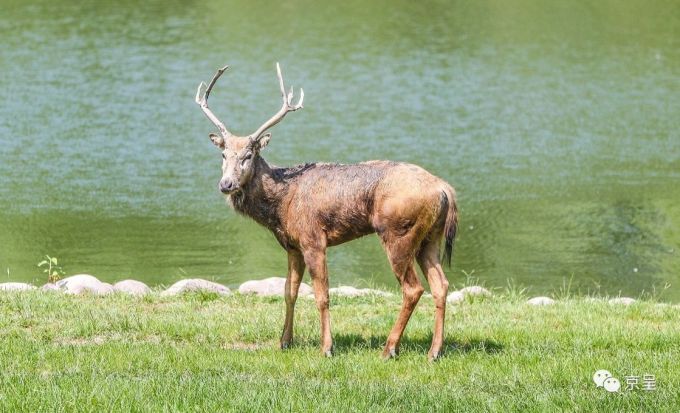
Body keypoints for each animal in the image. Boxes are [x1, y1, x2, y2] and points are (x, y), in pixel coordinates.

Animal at [194, 62, 460, 360]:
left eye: (248, 156)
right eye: (223, 155)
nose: (226, 184)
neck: (281, 206)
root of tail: (445, 190)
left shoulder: (313, 239)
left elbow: (322, 295)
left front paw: (327, 347)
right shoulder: (292, 245)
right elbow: (289, 291)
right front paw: (284, 341)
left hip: (398, 232)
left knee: (413, 288)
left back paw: (390, 348)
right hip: (430, 238)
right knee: (441, 285)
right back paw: (434, 351)